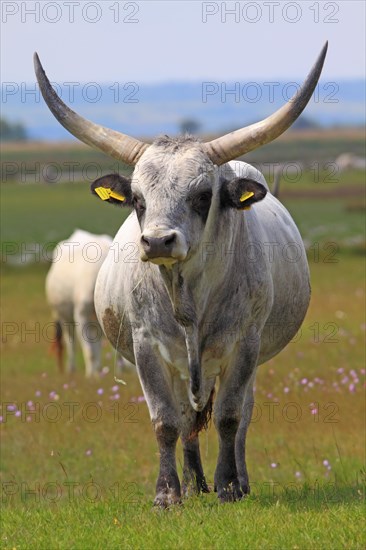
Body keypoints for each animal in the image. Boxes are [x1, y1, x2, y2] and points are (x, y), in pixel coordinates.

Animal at [46, 230, 111, 380]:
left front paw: (97, 371)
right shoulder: (81, 315)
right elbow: (89, 349)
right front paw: (91, 374)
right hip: (65, 316)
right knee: (71, 343)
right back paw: (72, 368)